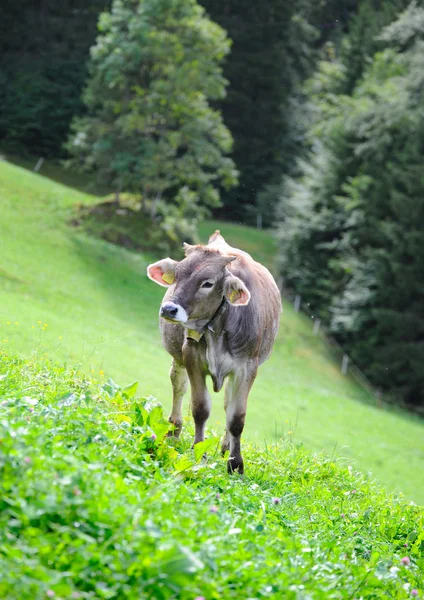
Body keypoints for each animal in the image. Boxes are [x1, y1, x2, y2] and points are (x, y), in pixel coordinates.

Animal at [146, 230, 282, 474]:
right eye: (177, 275)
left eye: (208, 283)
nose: (169, 309)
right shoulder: (191, 355)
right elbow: (200, 408)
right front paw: (199, 453)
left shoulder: (247, 367)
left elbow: (236, 417)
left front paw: (235, 464)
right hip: (178, 357)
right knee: (178, 386)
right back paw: (174, 431)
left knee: (228, 404)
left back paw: (226, 447)